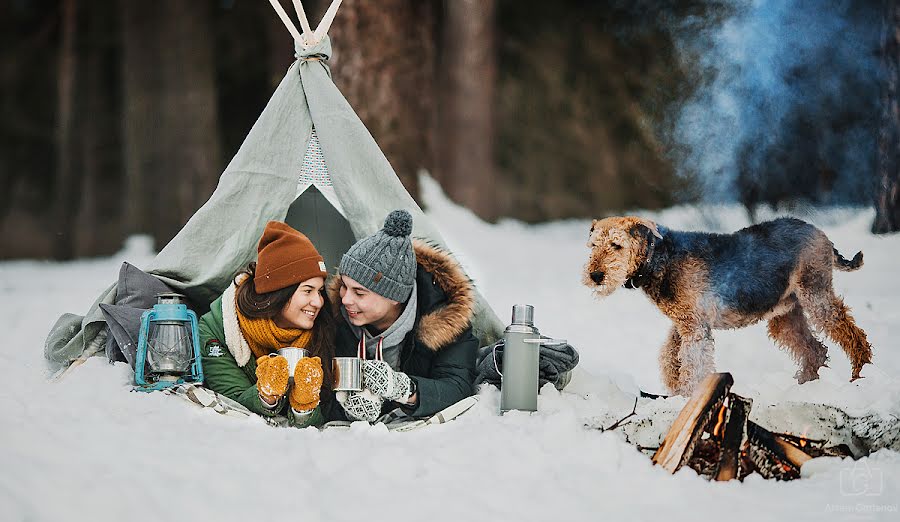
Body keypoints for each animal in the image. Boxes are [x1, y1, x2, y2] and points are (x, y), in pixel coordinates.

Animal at [584, 215, 872, 394]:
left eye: (616, 245)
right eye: (593, 245)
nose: (595, 275)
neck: (660, 257)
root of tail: (820, 233)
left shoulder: (695, 328)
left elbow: (691, 366)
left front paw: (686, 396)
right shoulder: (684, 323)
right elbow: (669, 357)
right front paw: (675, 391)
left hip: (816, 296)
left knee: (853, 335)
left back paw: (861, 374)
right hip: (786, 315)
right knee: (815, 350)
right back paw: (804, 386)